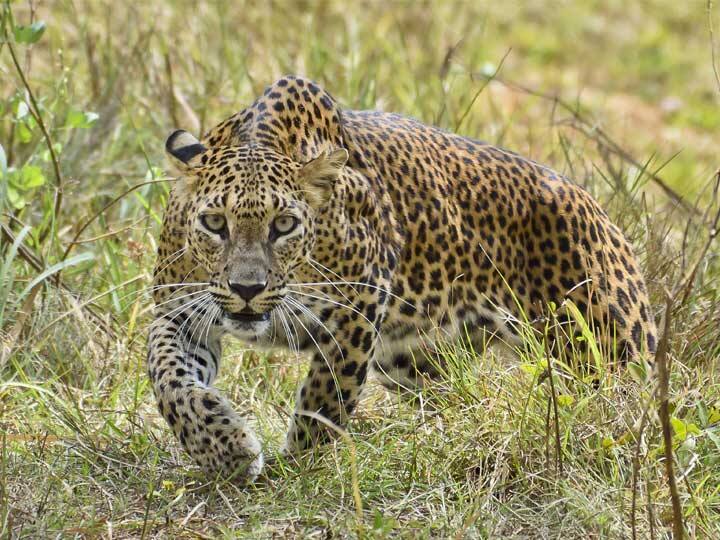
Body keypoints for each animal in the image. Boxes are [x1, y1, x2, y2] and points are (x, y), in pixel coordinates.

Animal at [147, 75, 656, 482]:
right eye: (215, 223)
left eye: (284, 225)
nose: (247, 290)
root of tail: (600, 211)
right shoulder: (179, 311)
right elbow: (168, 378)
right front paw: (224, 449)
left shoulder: (358, 309)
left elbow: (325, 398)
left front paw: (296, 467)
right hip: (416, 360)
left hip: (606, 350)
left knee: (631, 408)